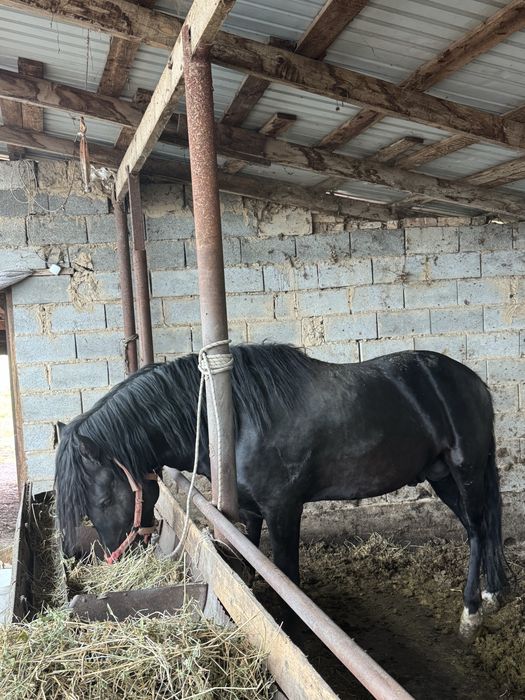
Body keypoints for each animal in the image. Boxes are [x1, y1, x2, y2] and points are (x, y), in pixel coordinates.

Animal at [55, 343, 508, 640]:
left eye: (102, 499)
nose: (120, 558)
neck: (237, 419)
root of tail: (471, 381)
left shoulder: (284, 509)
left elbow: (288, 577)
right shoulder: (252, 513)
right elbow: (252, 570)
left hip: (465, 471)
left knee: (477, 531)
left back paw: (471, 613)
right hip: (441, 476)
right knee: (483, 528)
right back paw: (492, 595)